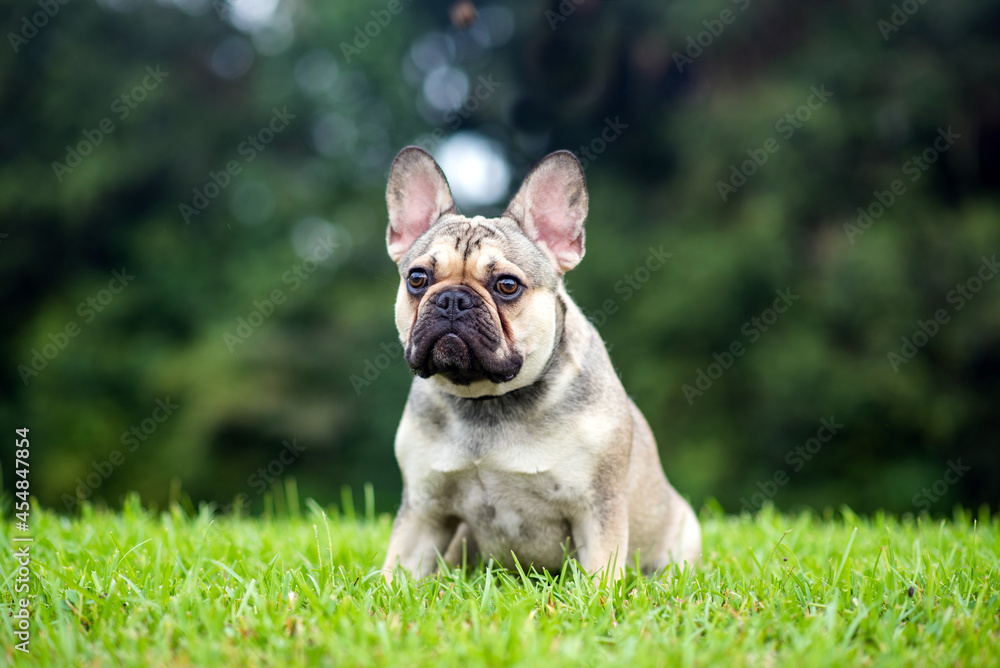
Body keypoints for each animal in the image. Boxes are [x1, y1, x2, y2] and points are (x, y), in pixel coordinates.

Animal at [378, 145, 700, 580]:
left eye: (507, 285)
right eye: (417, 278)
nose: (452, 300)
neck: (487, 400)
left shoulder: (597, 509)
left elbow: (600, 575)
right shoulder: (423, 511)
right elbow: (397, 570)